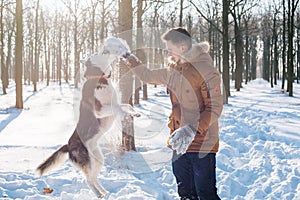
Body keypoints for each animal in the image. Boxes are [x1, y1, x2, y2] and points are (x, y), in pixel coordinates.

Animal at [36, 37, 141, 198]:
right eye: (99, 53)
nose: (104, 48)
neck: (99, 77)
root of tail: (68, 146)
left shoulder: (116, 103)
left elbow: (126, 105)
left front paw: (134, 113)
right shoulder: (100, 110)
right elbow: (118, 108)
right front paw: (126, 114)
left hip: (98, 159)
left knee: (94, 178)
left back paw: (104, 192)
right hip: (88, 161)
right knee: (88, 180)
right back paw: (98, 194)